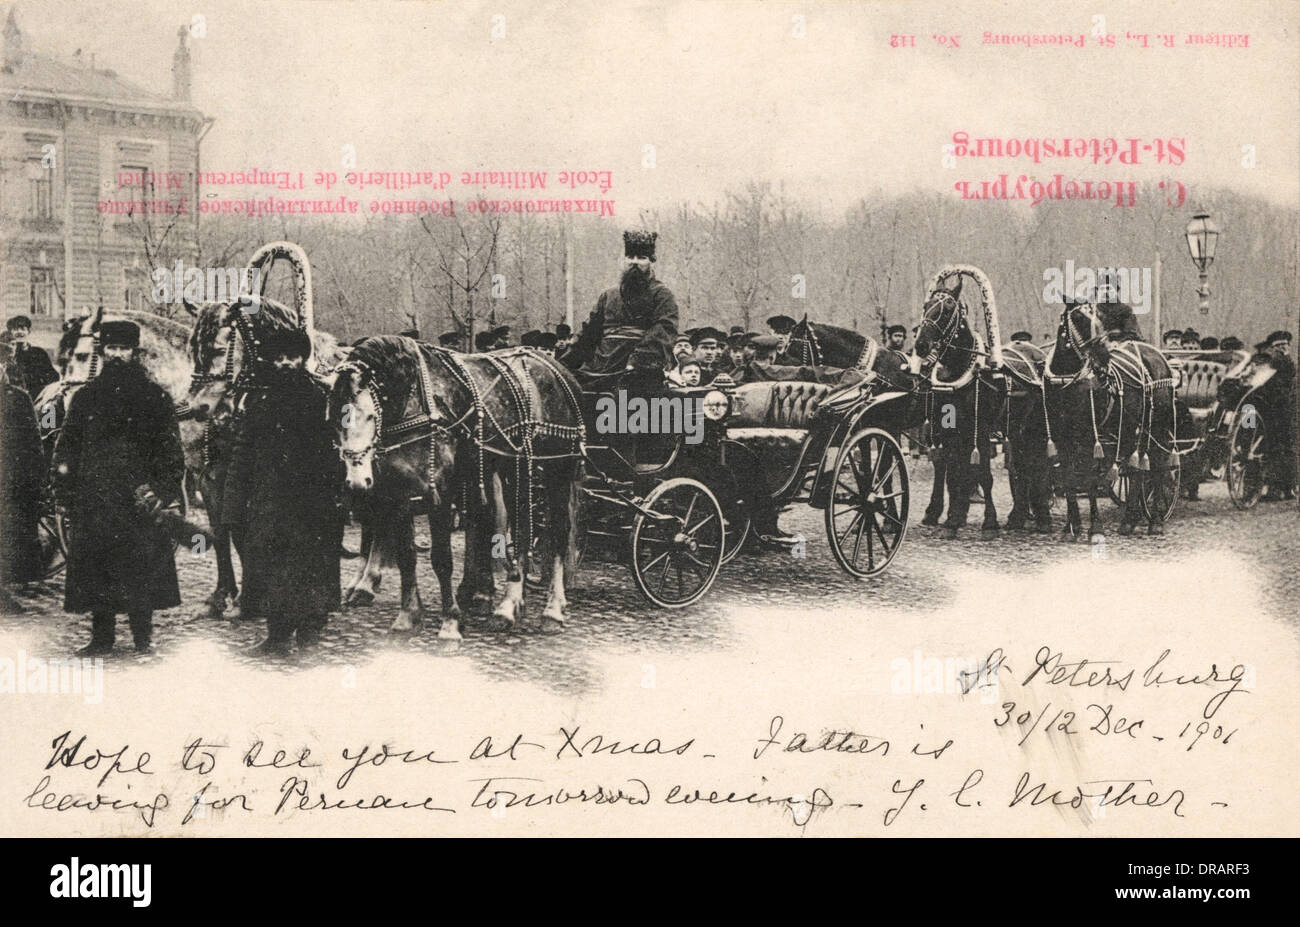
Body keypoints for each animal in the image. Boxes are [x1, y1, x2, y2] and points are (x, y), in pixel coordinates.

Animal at [330, 335, 585, 637]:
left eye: (371, 416)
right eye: (335, 421)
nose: (358, 482)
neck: (415, 402)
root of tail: (556, 366)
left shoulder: (439, 492)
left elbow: (441, 560)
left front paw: (450, 622)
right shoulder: (399, 493)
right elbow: (406, 556)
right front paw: (408, 616)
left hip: (558, 470)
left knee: (557, 534)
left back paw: (552, 610)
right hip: (516, 470)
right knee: (521, 529)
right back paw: (509, 606)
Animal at [1045, 300, 1180, 538]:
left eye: (1097, 319)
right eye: (1078, 318)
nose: (1102, 361)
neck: (1066, 382)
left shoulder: (1089, 439)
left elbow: (1089, 478)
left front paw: (1095, 526)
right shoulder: (1063, 437)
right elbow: (1068, 477)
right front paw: (1072, 526)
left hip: (1158, 426)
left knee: (1158, 467)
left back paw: (1155, 520)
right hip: (1131, 428)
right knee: (1136, 468)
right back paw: (1129, 520)